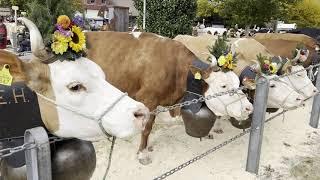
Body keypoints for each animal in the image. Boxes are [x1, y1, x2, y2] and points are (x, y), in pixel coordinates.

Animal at [85, 31, 255, 165]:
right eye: (223, 86)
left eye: (237, 83)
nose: (249, 108)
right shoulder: (148, 99)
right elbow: (147, 128)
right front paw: (142, 154)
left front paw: (148, 146)